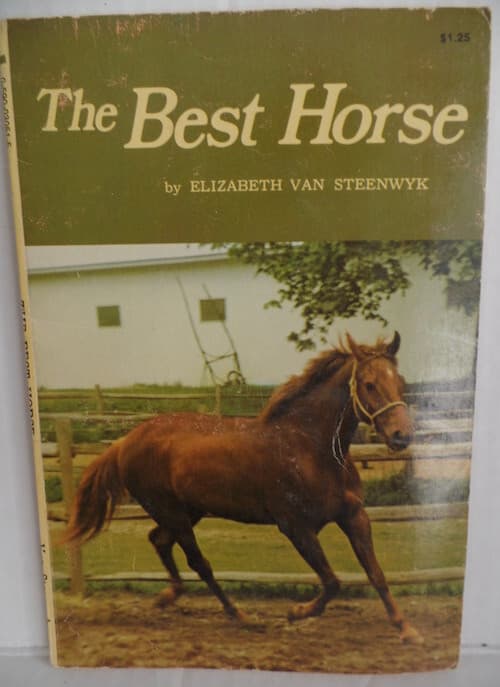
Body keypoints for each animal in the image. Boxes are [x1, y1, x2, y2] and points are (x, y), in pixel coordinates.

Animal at [63, 332, 422, 643]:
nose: (401, 435)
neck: (310, 447)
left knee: (159, 540)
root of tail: (124, 442)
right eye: (369, 384)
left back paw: (168, 597)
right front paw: (295, 612)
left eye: (400, 382)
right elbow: (332, 582)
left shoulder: (354, 516)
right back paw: (238, 615)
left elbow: (376, 574)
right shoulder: (295, 527)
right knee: (199, 563)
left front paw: (407, 629)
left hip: (187, 511)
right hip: (172, 512)